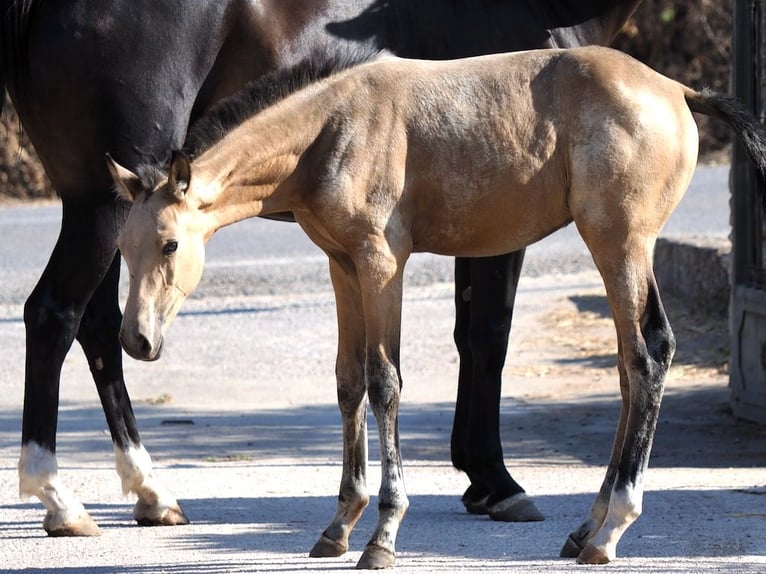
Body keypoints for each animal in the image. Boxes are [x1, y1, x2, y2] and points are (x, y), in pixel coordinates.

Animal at [3, 0, 644, 540]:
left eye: (167, 247)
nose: (144, 341)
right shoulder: (493, 229)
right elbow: (484, 339)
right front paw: (495, 483)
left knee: (98, 327)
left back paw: (149, 493)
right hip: (99, 207)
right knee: (55, 314)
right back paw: (60, 497)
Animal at [108, 47, 766, 568]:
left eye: (170, 244)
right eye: (123, 247)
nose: (136, 340)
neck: (332, 130)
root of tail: (677, 89)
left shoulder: (381, 265)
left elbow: (384, 382)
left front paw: (383, 535)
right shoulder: (342, 267)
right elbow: (348, 384)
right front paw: (339, 526)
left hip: (620, 242)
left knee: (649, 357)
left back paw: (612, 532)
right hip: (614, 249)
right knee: (632, 369)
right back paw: (586, 529)